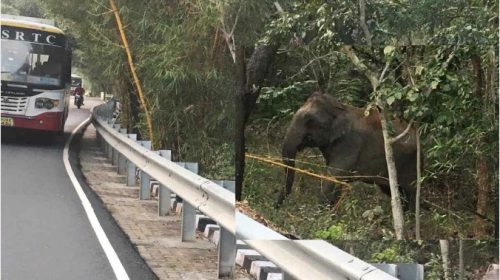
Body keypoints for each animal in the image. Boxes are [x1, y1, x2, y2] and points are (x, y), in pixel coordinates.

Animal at [280, 91, 420, 210]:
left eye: (310, 120)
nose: (278, 207)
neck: (341, 108)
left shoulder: (351, 144)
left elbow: (334, 177)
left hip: (412, 164)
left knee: (411, 192)